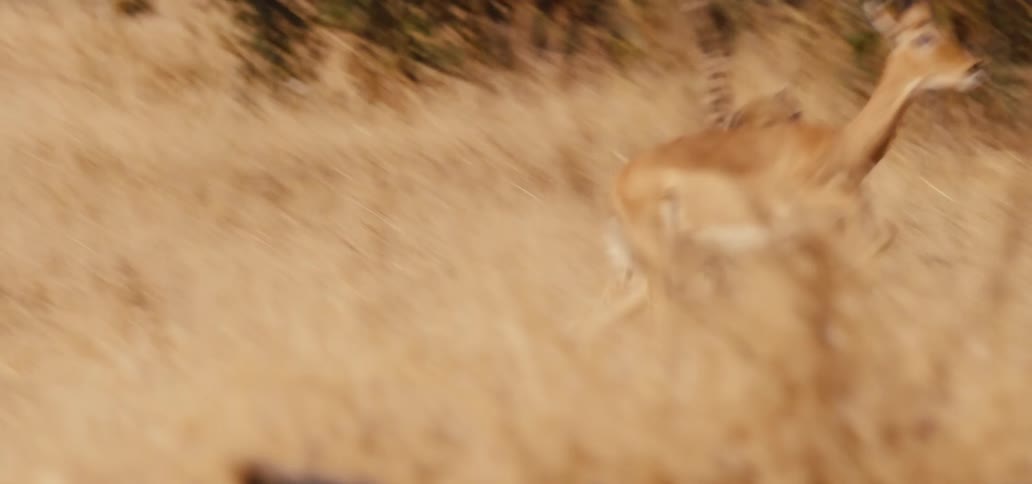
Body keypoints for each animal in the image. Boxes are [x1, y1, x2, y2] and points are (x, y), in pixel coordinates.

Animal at [607, 0, 984, 316]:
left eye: (946, 31)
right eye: (924, 37)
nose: (974, 67)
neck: (839, 147)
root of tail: (621, 179)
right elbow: (880, 235)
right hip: (663, 263)